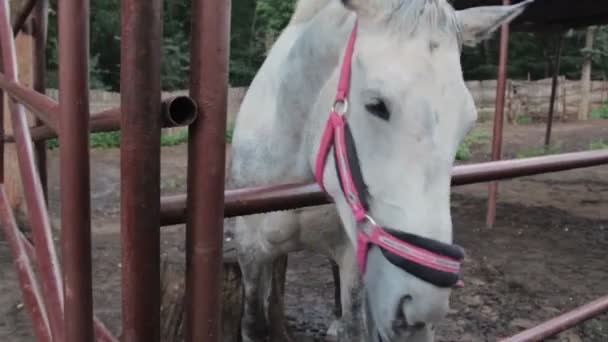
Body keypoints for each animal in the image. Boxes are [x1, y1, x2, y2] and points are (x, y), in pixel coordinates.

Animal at [227, 1, 532, 340]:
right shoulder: (250, 250)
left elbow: (354, 324)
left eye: (468, 122)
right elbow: (254, 322)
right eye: (376, 105)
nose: (420, 310)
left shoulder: (354, 257)